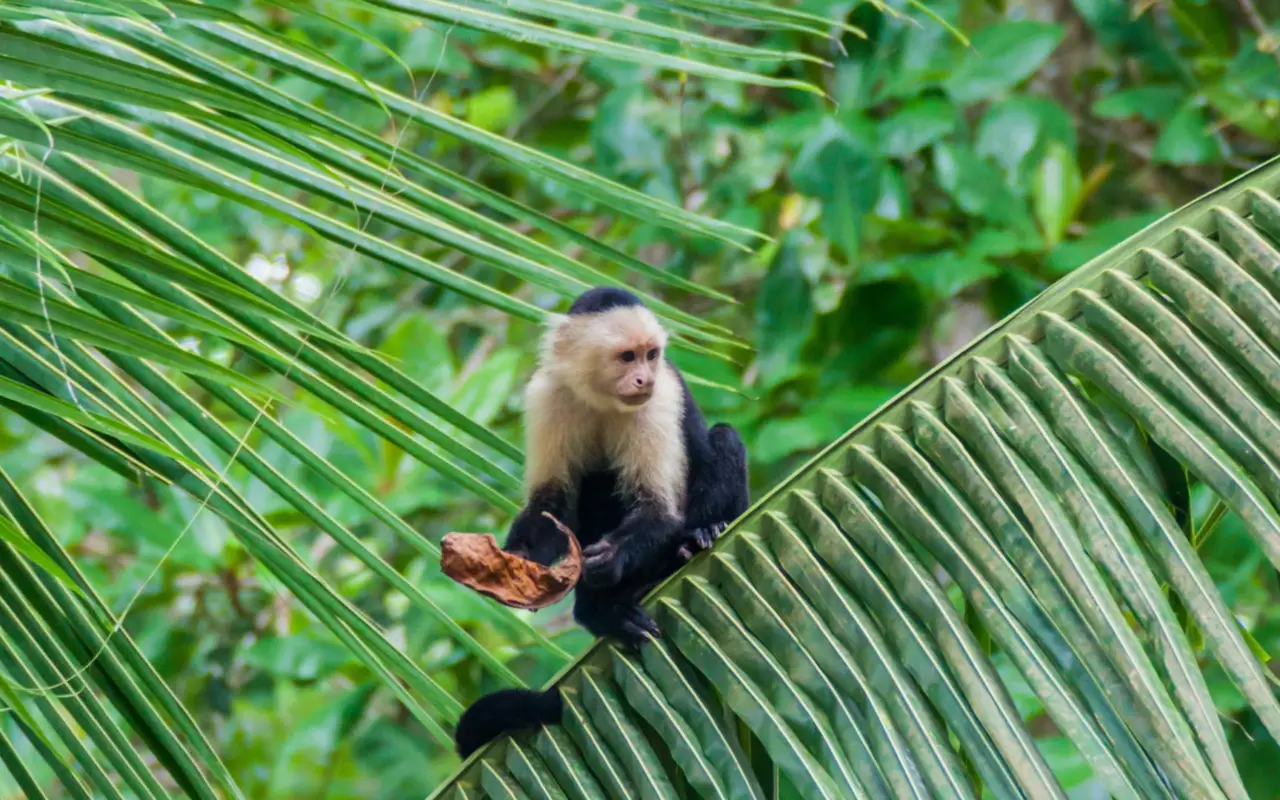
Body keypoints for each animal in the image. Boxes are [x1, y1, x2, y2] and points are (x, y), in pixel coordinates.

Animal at [452, 286, 750, 759]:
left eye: (651, 355)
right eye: (627, 357)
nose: (644, 379)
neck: (601, 397)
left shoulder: (659, 401)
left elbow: (658, 510)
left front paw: (609, 558)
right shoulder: (548, 394)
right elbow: (552, 505)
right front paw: (510, 563)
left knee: (722, 439)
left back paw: (695, 541)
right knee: (593, 480)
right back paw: (599, 611)